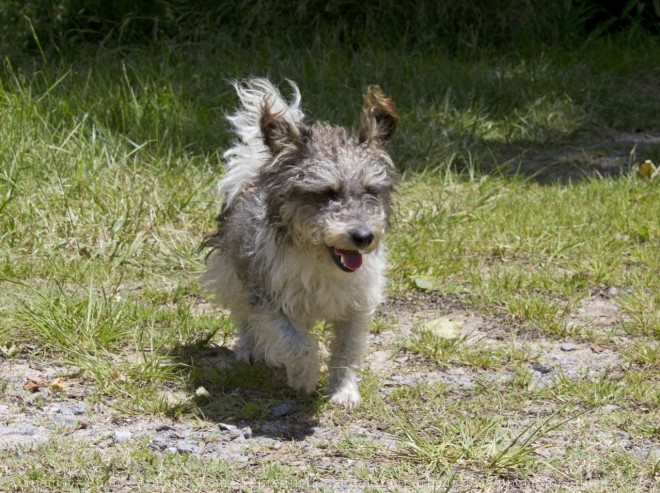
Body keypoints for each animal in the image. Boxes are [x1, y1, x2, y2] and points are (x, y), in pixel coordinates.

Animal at [200, 77, 398, 406]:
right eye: (326, 193)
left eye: (370, 191)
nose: (363, 237)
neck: (319, 261)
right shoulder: (268, 299)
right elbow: (296, 343)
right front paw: (303, 377)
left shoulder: (357, 304)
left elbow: (346, 349)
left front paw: (343, 390)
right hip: (234, 276)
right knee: (243, 318)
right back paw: (249, 352)